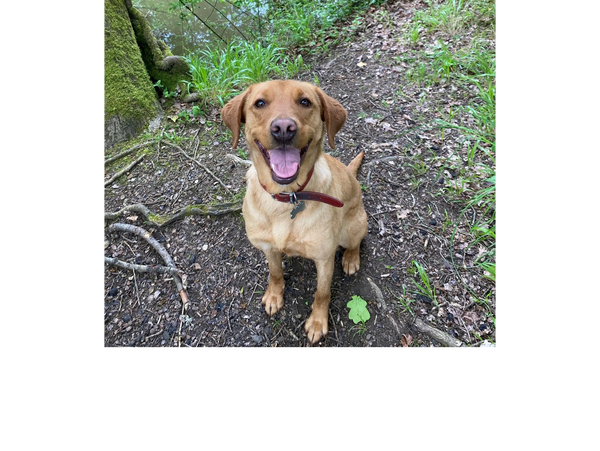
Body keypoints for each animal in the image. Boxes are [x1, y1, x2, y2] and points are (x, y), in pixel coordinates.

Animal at [223, 80, 368, 342]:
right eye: (260, 103)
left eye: (304, 102)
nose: (283, 128)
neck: (286, 197)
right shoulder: (268, 247)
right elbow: (275, 273)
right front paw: (274, 295)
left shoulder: (324, 258)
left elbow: (322, 293)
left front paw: (318, 322)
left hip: (353, 226)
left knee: (355, 242)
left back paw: (351, 259)